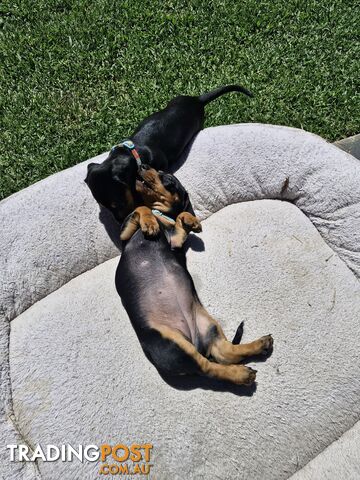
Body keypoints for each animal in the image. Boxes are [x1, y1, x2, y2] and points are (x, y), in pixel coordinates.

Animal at [85, 84, 252, 221]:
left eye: (117, 203)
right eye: (104, 205)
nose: (121, 221)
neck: (131, 152)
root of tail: (196, 100)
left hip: (198, 123)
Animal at [115, 169, 272, 386]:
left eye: (167, 179)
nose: (142, 166)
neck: (162, 216)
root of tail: (197, 340)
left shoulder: (172, 240)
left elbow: (171, 215)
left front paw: (190, 221)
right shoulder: (132, 234)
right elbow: (141, 208)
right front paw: (151, 224)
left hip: (196, 332)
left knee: (216, 361)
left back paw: (252, 357)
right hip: (181, 339)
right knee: (217, 361)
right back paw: (248, 363)